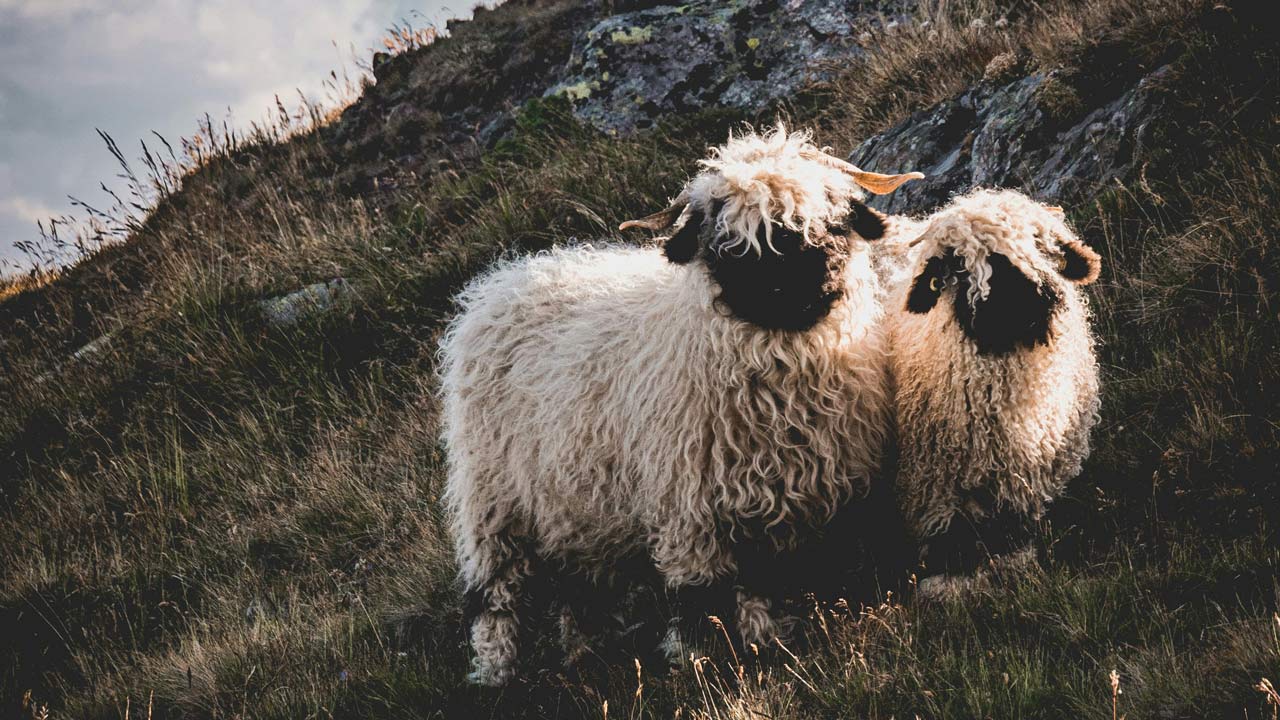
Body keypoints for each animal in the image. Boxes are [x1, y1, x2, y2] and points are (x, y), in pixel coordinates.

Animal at [438, 124, 922, 685]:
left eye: (829, 223)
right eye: (730, 245)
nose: (788, 289)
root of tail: (504, 279)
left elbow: (773, 580)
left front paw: (770, 642)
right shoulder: (689, 509)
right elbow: (702, 599)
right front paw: (703, 662)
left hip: (573, 506)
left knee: (579, 589)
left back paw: (585, 658)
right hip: (494, 502)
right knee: (495, 596)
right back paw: (496, 674)